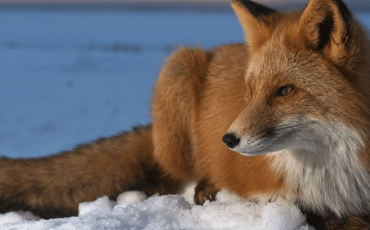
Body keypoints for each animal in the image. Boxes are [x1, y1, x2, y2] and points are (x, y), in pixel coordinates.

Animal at [0, 0, 370, 229]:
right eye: (249, 92)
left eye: (286, 91)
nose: (228, 139)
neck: (337, 165)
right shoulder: (268, 192)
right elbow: (318, 214)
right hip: (177, 70)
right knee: (174, 178)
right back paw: (204, 187)